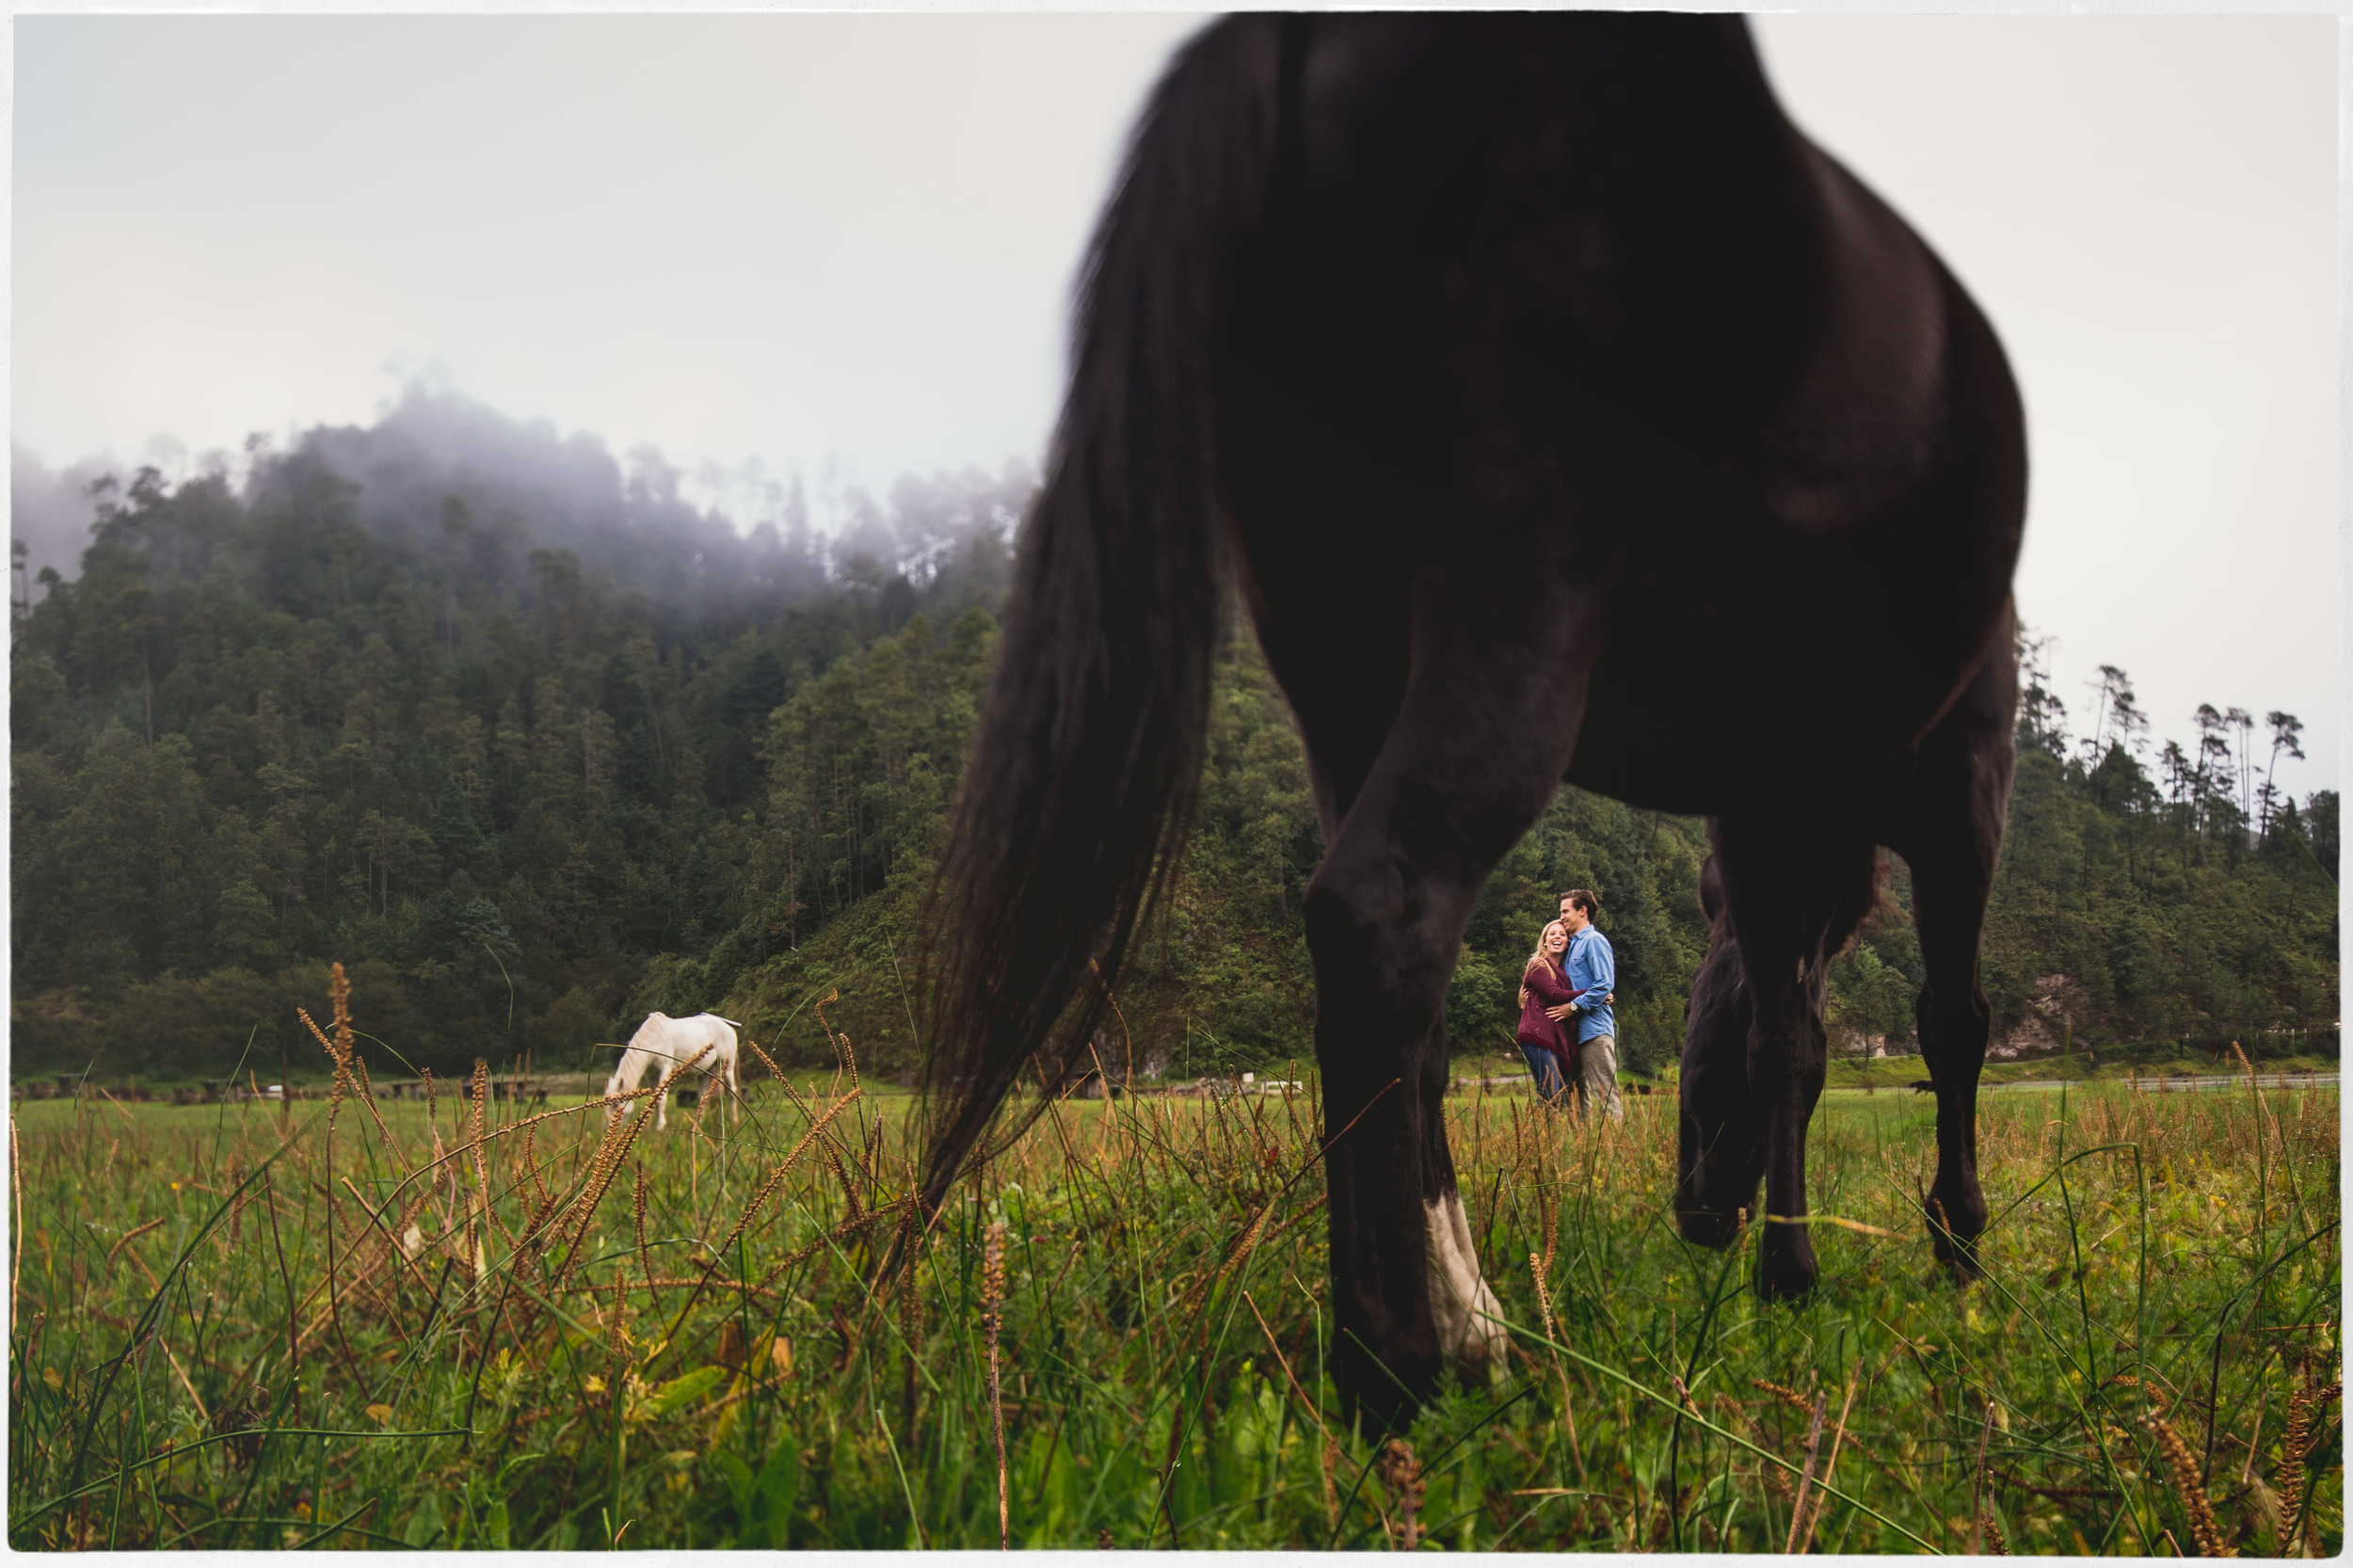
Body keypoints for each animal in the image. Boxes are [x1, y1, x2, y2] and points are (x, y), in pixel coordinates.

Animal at [607, 1012, 744, 1125]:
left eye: (617, 1104)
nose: (608, 1129)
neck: (654, 1037)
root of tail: (727, 1027)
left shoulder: (665, 1070)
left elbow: (661, 1099)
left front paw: (661, 1127)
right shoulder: (651, 1075)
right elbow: (654, 1100)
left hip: (727, 1067)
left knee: (732, 1092)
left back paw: (735, 1121)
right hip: (703, 1073)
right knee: (703, 1097)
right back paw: (698, 1125)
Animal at [918, 11, 2024, 1421]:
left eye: (1694, 1069)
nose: (1694, 1214)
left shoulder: (1769, 820)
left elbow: (1794, 1030)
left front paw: (1795, 1265)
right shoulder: (1961, 784)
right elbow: (1938, 1023)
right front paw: (1949, 1240)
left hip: (1335, 651)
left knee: (1401, 996)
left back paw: (1464, 1314)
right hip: (1512, 599)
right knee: (1382, 909)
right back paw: (1404, 1356)